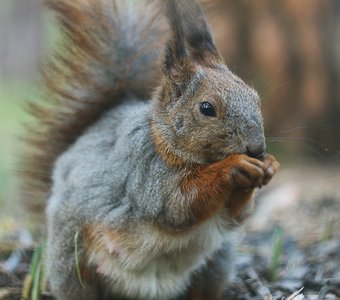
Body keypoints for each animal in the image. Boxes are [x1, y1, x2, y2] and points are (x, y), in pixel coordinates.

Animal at [21, 0, 278, 300]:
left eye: (255, 97)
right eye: (206, 108)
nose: (257, 148)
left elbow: (236, 214)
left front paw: (269, 166)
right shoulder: (144, 169)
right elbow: (178, 204)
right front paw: (234, 166)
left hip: (217, 262)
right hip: (71, 258)